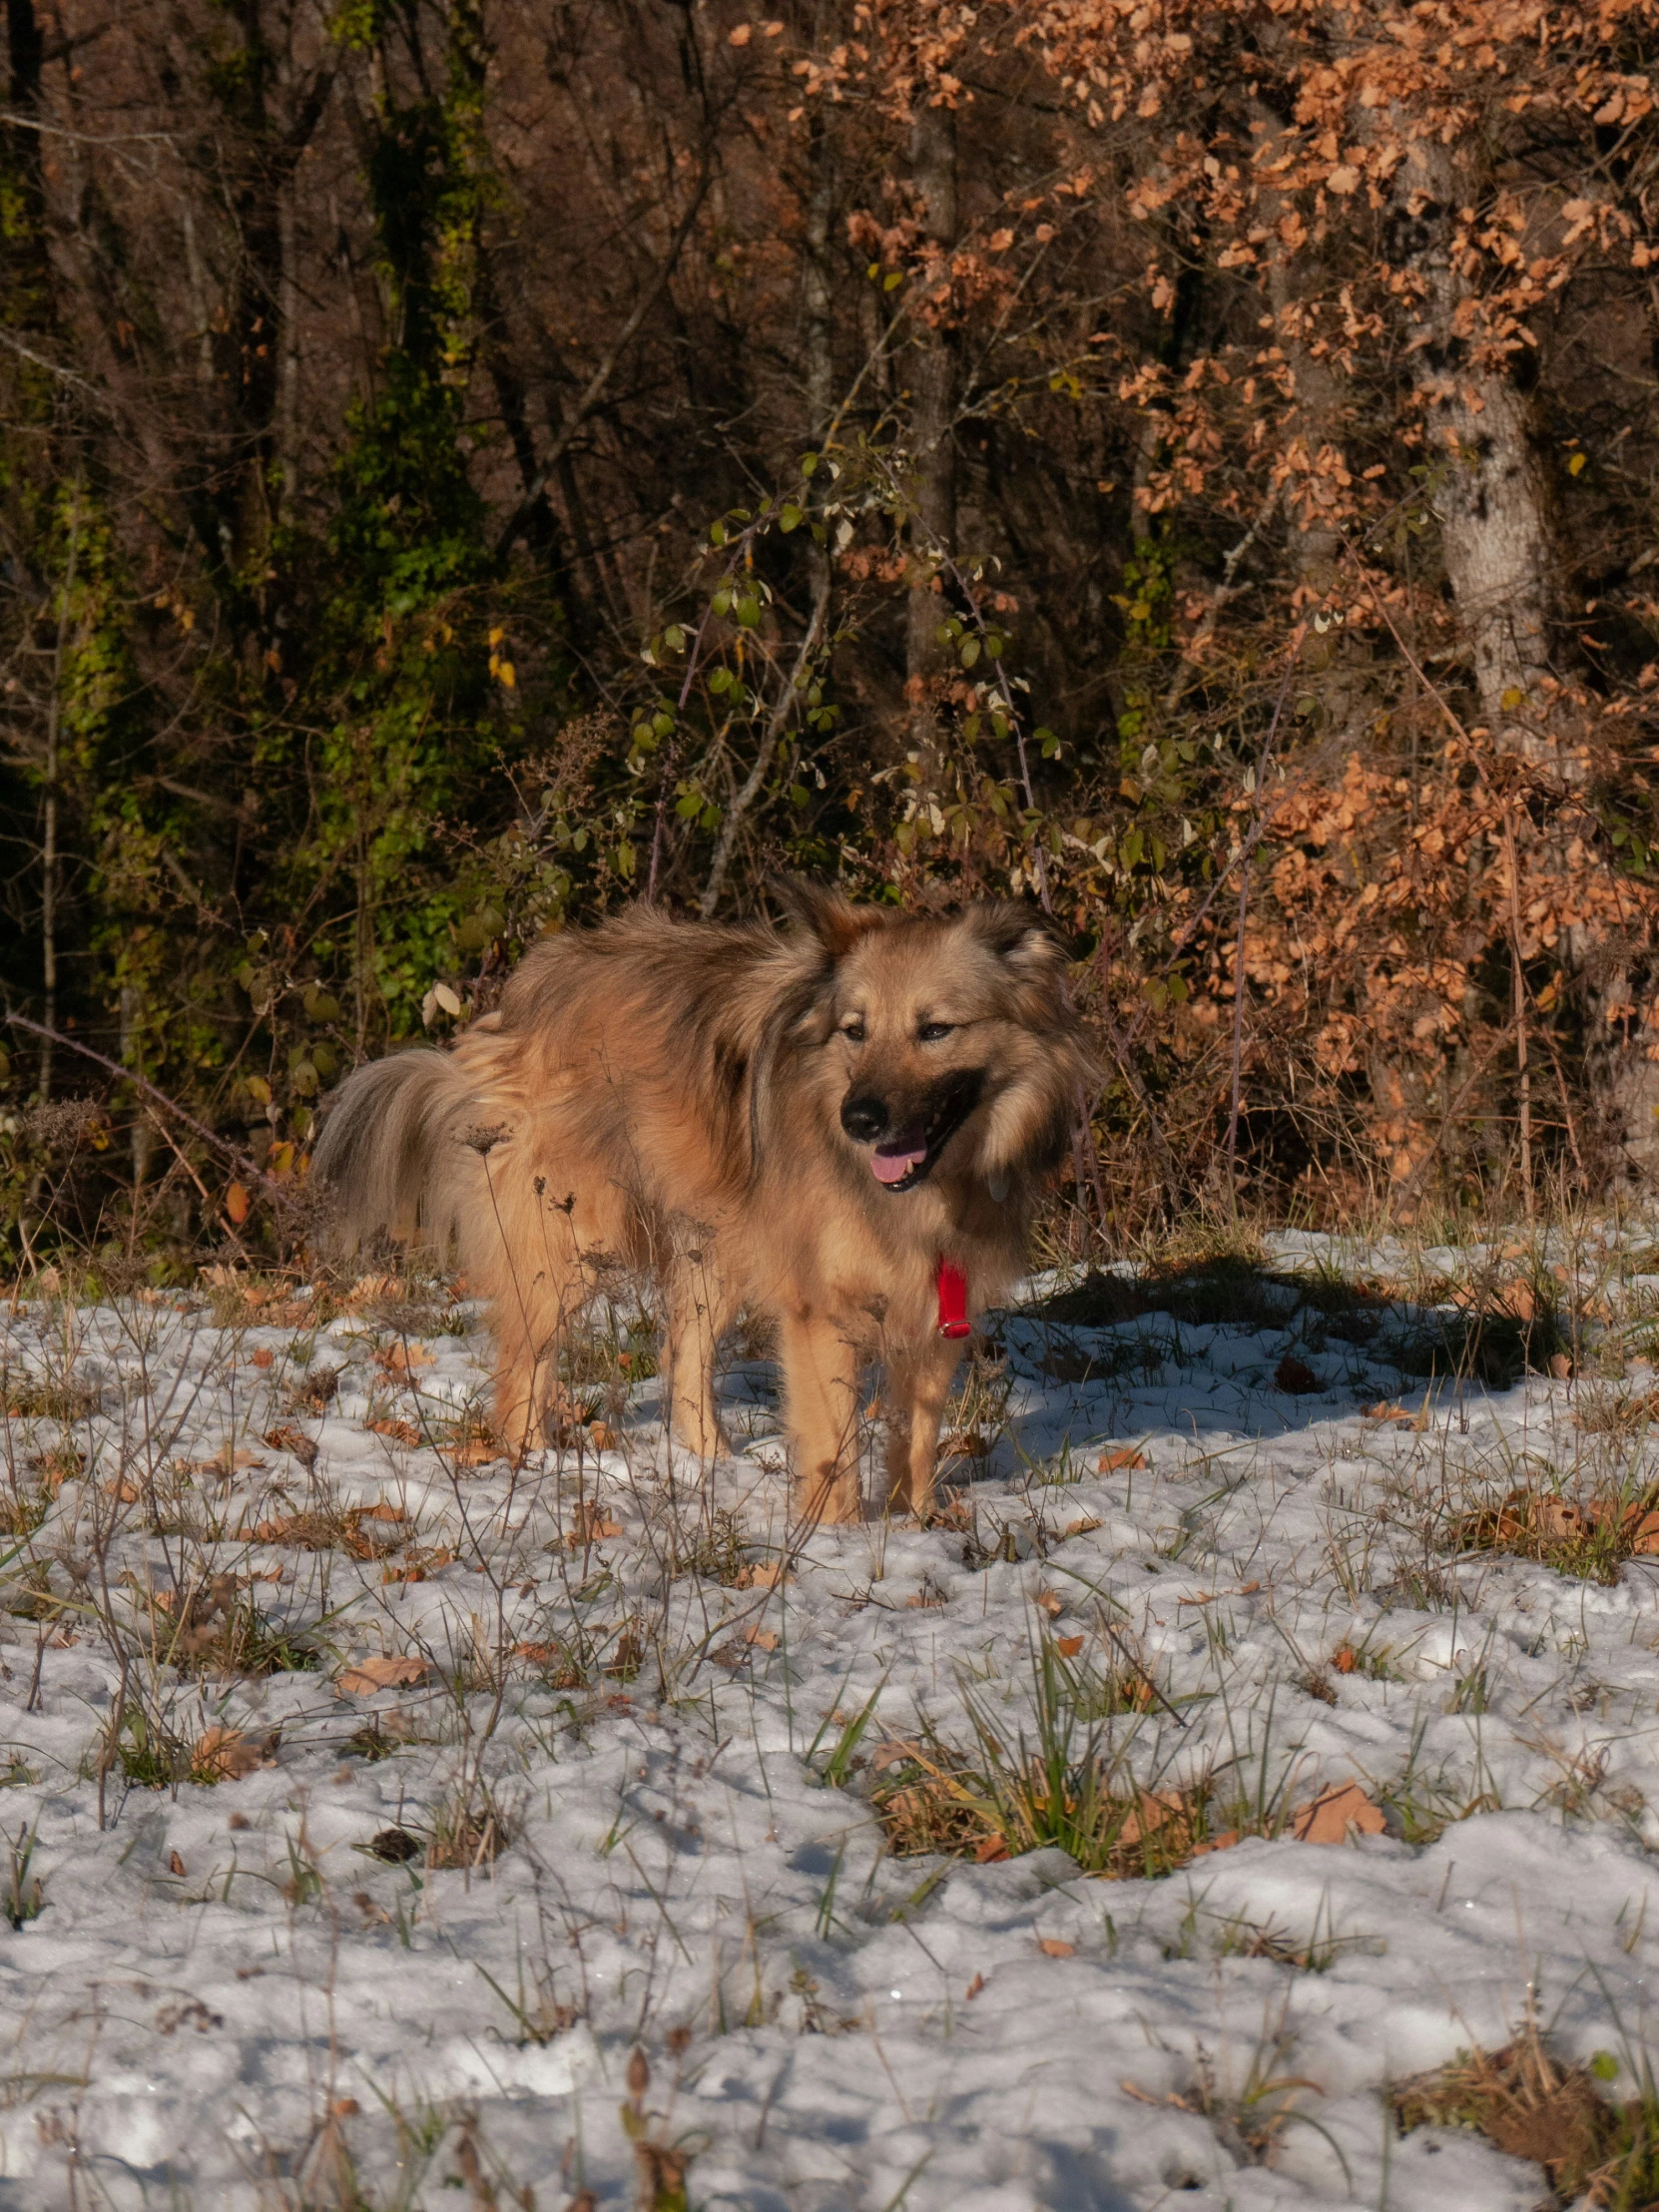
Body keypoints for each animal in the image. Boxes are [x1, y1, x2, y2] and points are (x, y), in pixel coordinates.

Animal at [311, 879, 1092, 1521]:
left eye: (935, 1030)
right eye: (855, 1030)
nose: (860, 1119)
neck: (926, 1195)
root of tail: (526, 991)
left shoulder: (937, 1302)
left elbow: (919, 1435)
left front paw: (917, 1521)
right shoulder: (821, 1310)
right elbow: (832, 1446)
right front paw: (835, 1539)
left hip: (713, 1243)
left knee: (683, 1352)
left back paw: (707, 1465)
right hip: (571, 1240)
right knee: (523, 1365)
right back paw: (530, 1463)